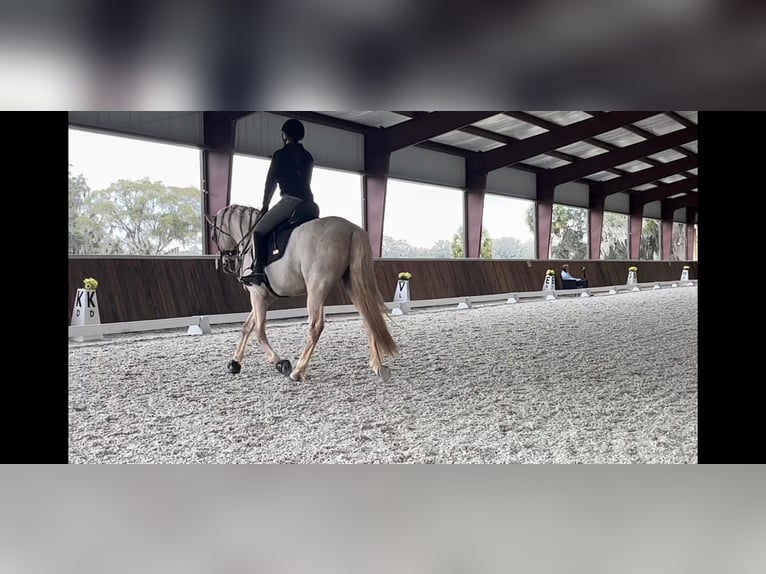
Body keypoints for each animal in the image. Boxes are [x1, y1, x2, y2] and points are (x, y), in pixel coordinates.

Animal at [210, 205, 402, 384]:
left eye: (213, 236)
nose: (226, 264)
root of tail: (352, 229)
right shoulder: (267, 296)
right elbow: (246, 327)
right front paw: (235, 363)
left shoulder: (257, 293)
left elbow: (258, 330)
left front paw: (280, 363)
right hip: (352, 284)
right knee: (368, 317)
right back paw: (378, 366)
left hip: (316, 287)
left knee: (315, 327)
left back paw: (297, 371)